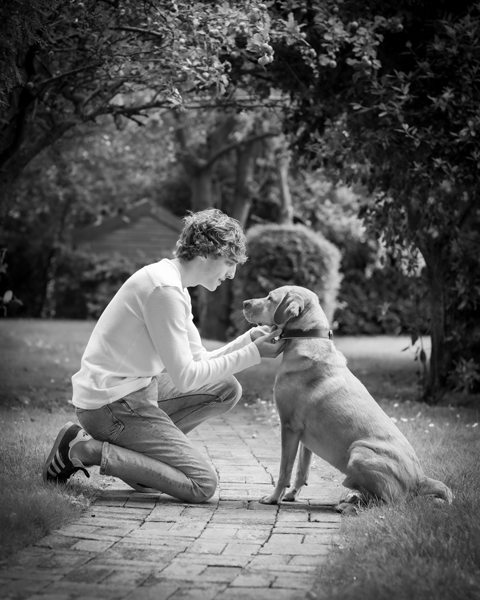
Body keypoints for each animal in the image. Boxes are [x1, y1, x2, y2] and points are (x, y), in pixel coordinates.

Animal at [244, 286, 454, 510]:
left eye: (269, 297)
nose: (244, 303)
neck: (306, 337)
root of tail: (420, 479)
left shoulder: (289, 426)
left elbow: (285, 470)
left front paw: (274, 497)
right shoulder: (303, 435)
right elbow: (302, 470)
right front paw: (292, 494)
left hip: (358, 452)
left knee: (389, 502)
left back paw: (351, 506)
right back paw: (353, 498)